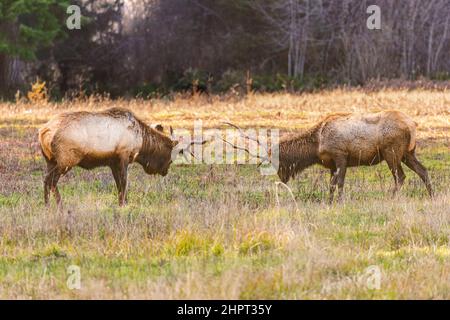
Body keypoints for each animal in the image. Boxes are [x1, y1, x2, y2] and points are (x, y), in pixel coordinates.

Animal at [38, 107, 204, 208]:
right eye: (170, 155)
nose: (165, 171)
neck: (141, 142)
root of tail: (43, 132)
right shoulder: (123, 156)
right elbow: (124, 183)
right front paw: (124, 204)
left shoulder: (112, 162)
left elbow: (118, 184)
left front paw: (121, 203)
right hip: (65, 160)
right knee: (51, 181)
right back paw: (59, 205)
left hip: (50, 160)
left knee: (46, 180)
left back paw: (46, 204)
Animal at [223, 111, 434, 201]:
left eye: (278, 160)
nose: (282, 178)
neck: (316, 146)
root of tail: (412, 125)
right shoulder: (332, 163)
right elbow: (331, 185)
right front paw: (329, 201)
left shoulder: (341, 155)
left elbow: (340, 183)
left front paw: (340, 201)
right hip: (407, 153)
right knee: (423, 171)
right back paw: (432, 195)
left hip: (392, 152)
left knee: (401, 176)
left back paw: (390, 197)